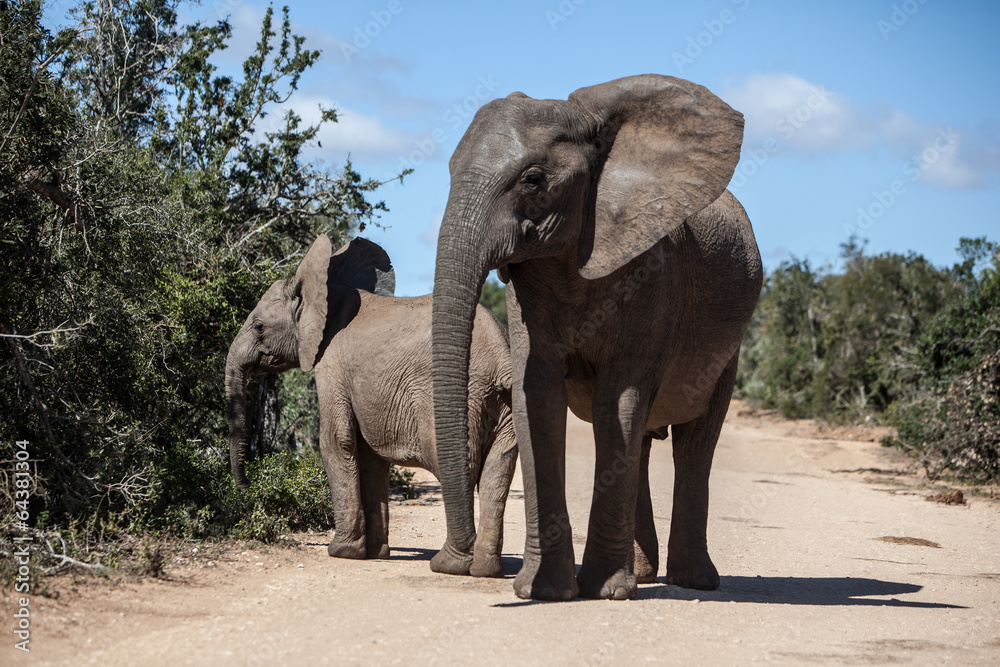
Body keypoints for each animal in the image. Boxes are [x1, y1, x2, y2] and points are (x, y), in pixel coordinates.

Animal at [226, 235, 517, 577]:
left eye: (259, 327)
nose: (246, 490)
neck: (326, 291)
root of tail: (501, 355)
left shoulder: (331, 365)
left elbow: (335, 441)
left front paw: (341, 552)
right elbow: (370, 457)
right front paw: (376, 554)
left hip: (460, 397)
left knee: (459, 469)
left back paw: (448, 563)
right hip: (503, 406)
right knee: (498, 473)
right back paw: (486, 570)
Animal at [429, 74, 762, 600]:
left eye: (533, 179)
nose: (450, 564)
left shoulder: (654, 272)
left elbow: (617, 397)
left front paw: (604, 591)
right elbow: (537, 395)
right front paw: (544, 592)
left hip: (729, 341)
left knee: (695, 440)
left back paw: (693, 581)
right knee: (644, 437)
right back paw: (643, 573)